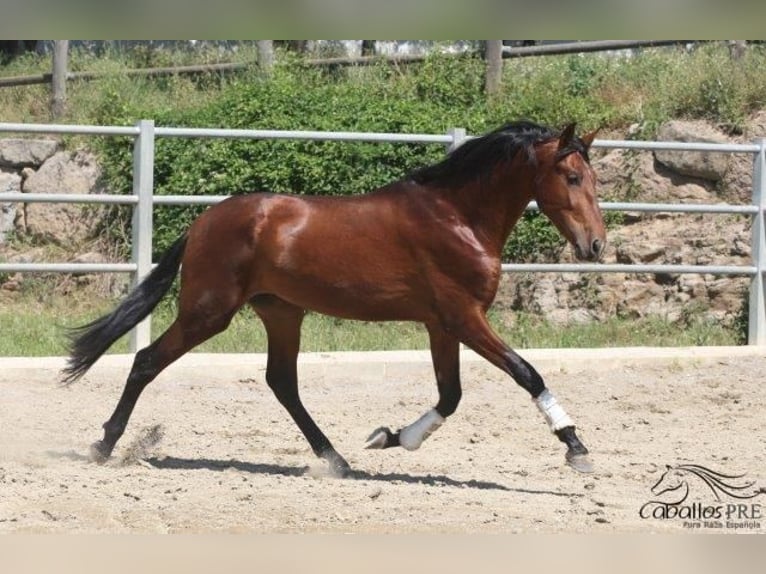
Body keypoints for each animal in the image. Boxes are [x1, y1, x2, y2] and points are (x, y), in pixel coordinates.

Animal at [63, 120, 608, 476]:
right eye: (572, 177)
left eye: (594, 179)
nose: (596, 246)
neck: (457, 216)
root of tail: (204, 222)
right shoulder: (463, 317)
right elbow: (526, 373)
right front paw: (576, 446)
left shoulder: (441, 324)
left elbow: (450, 396)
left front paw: (390, 438)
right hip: (208, 311)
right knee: (146, 362)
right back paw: (103, 446)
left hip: (282, 312)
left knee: (282, 382)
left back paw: (335, 459)